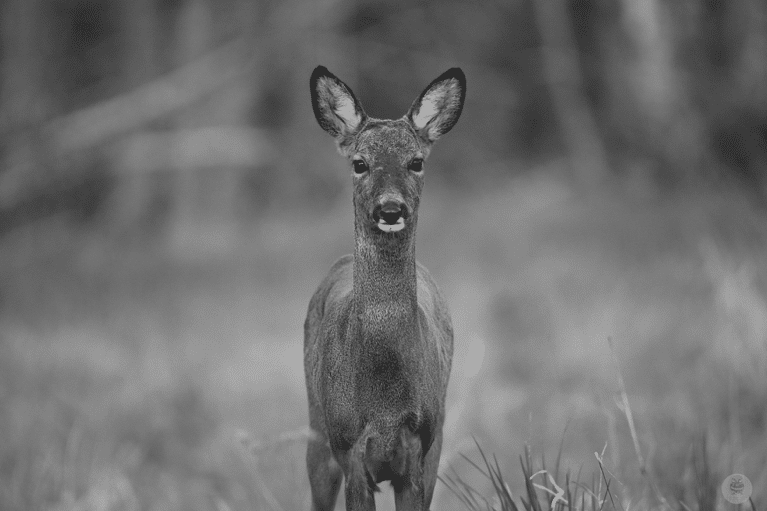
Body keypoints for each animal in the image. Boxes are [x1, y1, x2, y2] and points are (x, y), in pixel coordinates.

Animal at [304, 65, 464, 511]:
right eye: (360, 163)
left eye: (416, 161)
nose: (390, 209)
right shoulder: (350, 450)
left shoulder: (419, 451)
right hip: (317, 432)